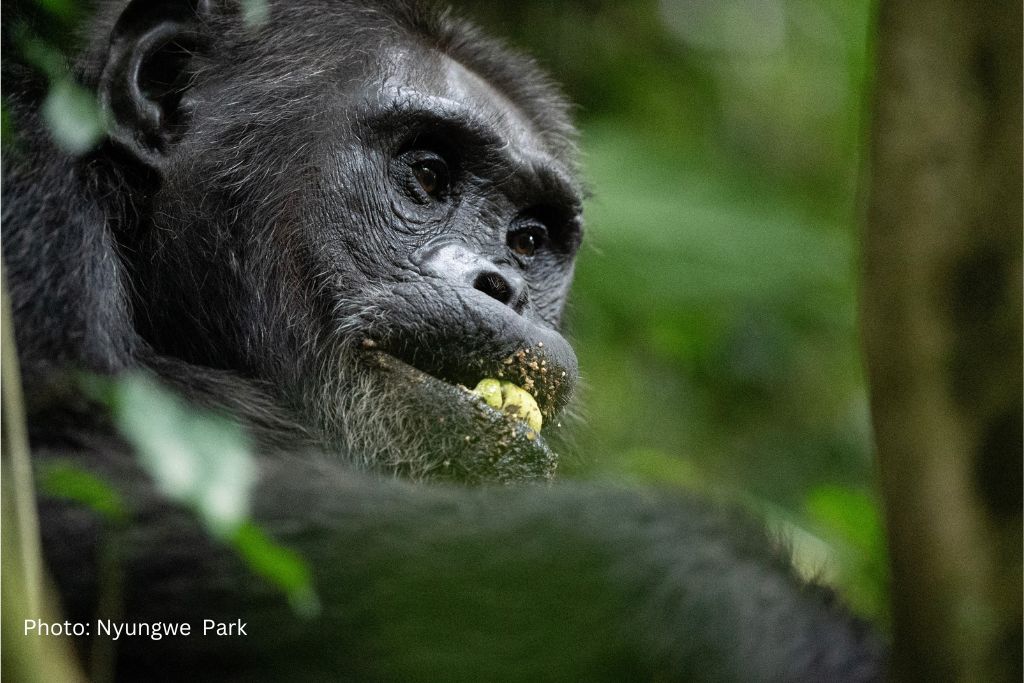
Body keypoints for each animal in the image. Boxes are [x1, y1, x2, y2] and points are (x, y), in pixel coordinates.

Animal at [0, 0, 884, 679]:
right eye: (427, 174)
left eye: (529, 238)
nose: (504, 284)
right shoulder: (30, 199)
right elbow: (61, 477)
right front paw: (745, 607)